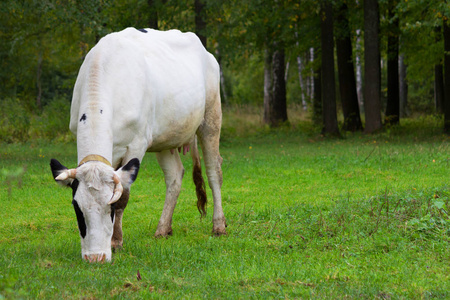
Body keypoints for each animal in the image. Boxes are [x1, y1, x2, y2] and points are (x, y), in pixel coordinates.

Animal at [50, 28, 225, 262]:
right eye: (78, 210)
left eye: (110, 208)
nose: (95, 257)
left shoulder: (137, 144)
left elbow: (123, 195)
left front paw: (116, 241)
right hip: (165, 138)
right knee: (175, 177)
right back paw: (163, 229)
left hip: (211, 118)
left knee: (214, 172)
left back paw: (219, 225)